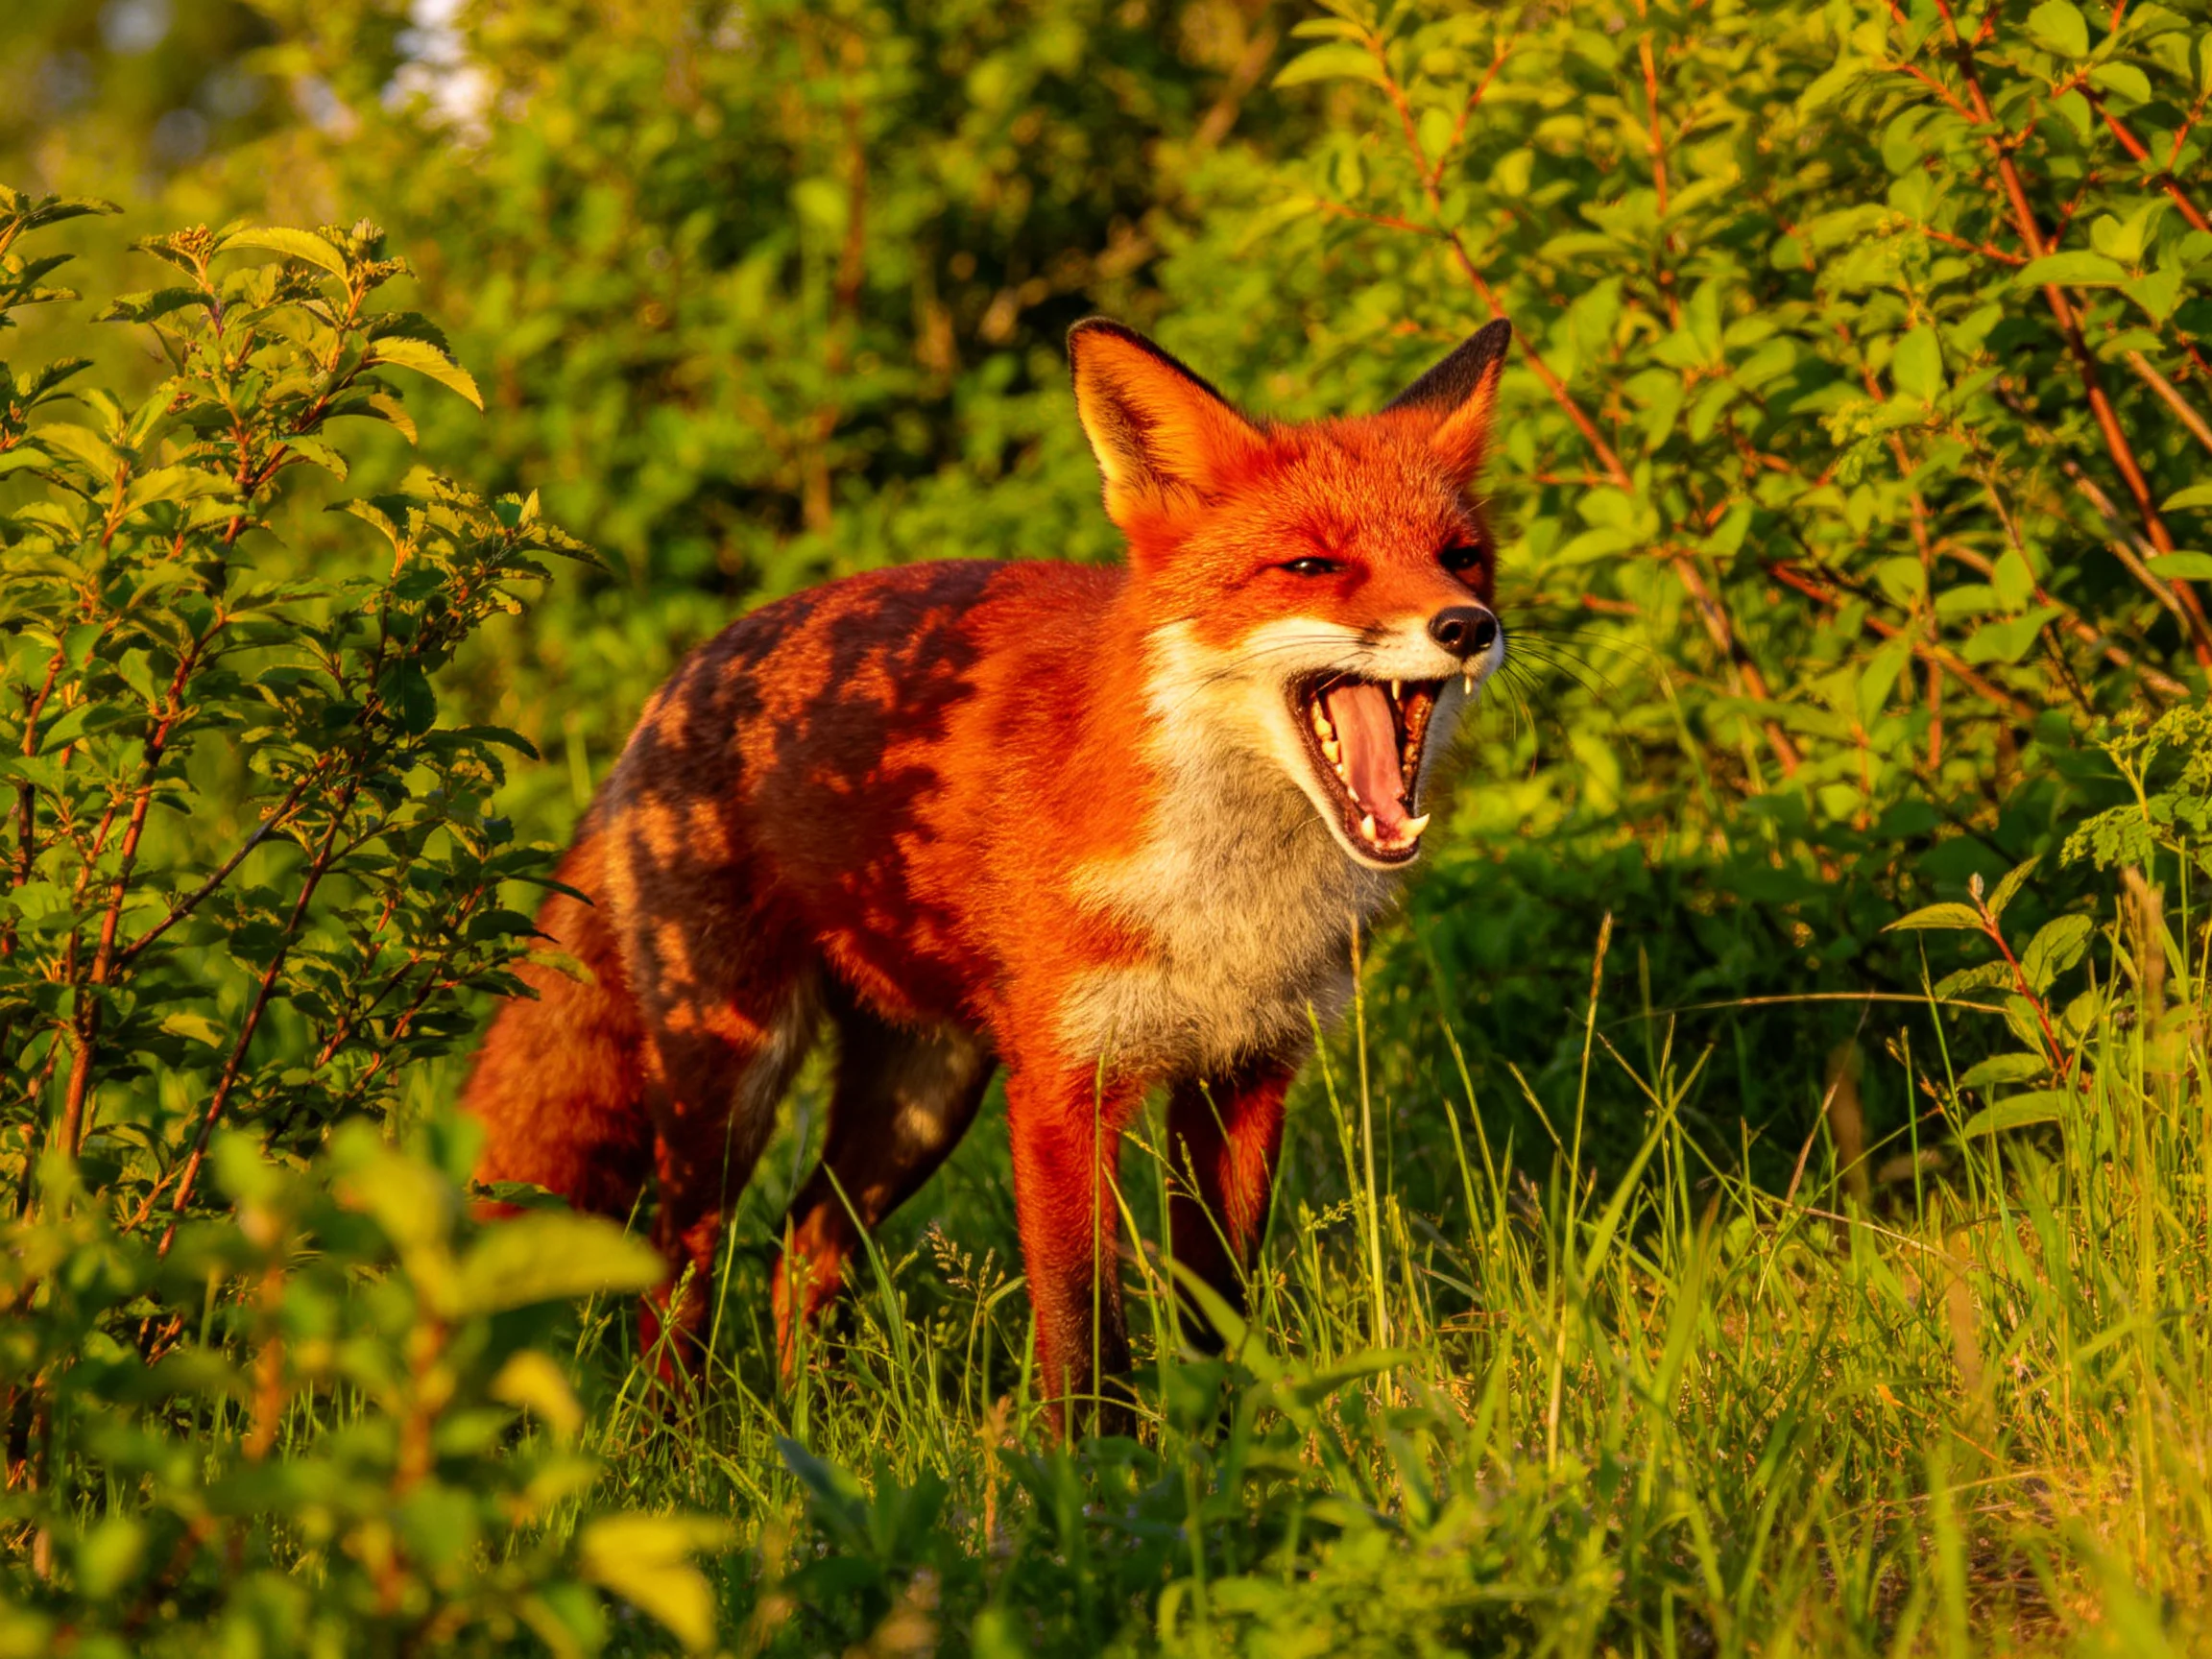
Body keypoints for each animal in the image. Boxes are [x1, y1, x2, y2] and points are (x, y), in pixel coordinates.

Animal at [462, 315, 1515, 1434]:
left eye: (1461, 559)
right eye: (1312, 564)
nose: (1466, 627)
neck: (1224, 903)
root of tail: (680, 679)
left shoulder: (1246, 1074)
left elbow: (1216, 1321)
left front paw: (1218, 1457)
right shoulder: (1062, 1086)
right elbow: (1085, 1340)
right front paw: (1099, 1473)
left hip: (922, 1095)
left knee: (803, 1243)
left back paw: (813, 1427)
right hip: (729, 1078)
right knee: (678, 1274)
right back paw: (682, 1446)